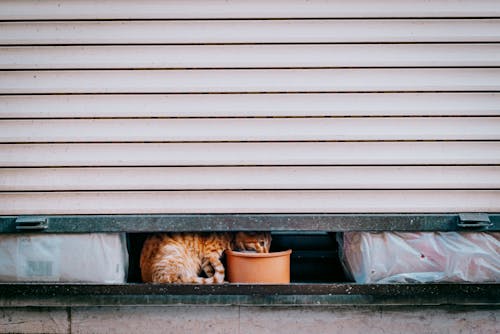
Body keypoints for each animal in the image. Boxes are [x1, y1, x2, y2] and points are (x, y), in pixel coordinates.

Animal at [139, 232, 272, 284]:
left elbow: (210, 271)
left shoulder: (205, 260)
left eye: (269, 244)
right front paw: (222, 281)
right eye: (261, 243)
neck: (231, 237)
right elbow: (213, 272)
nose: (267, 253)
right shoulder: (209, 254)